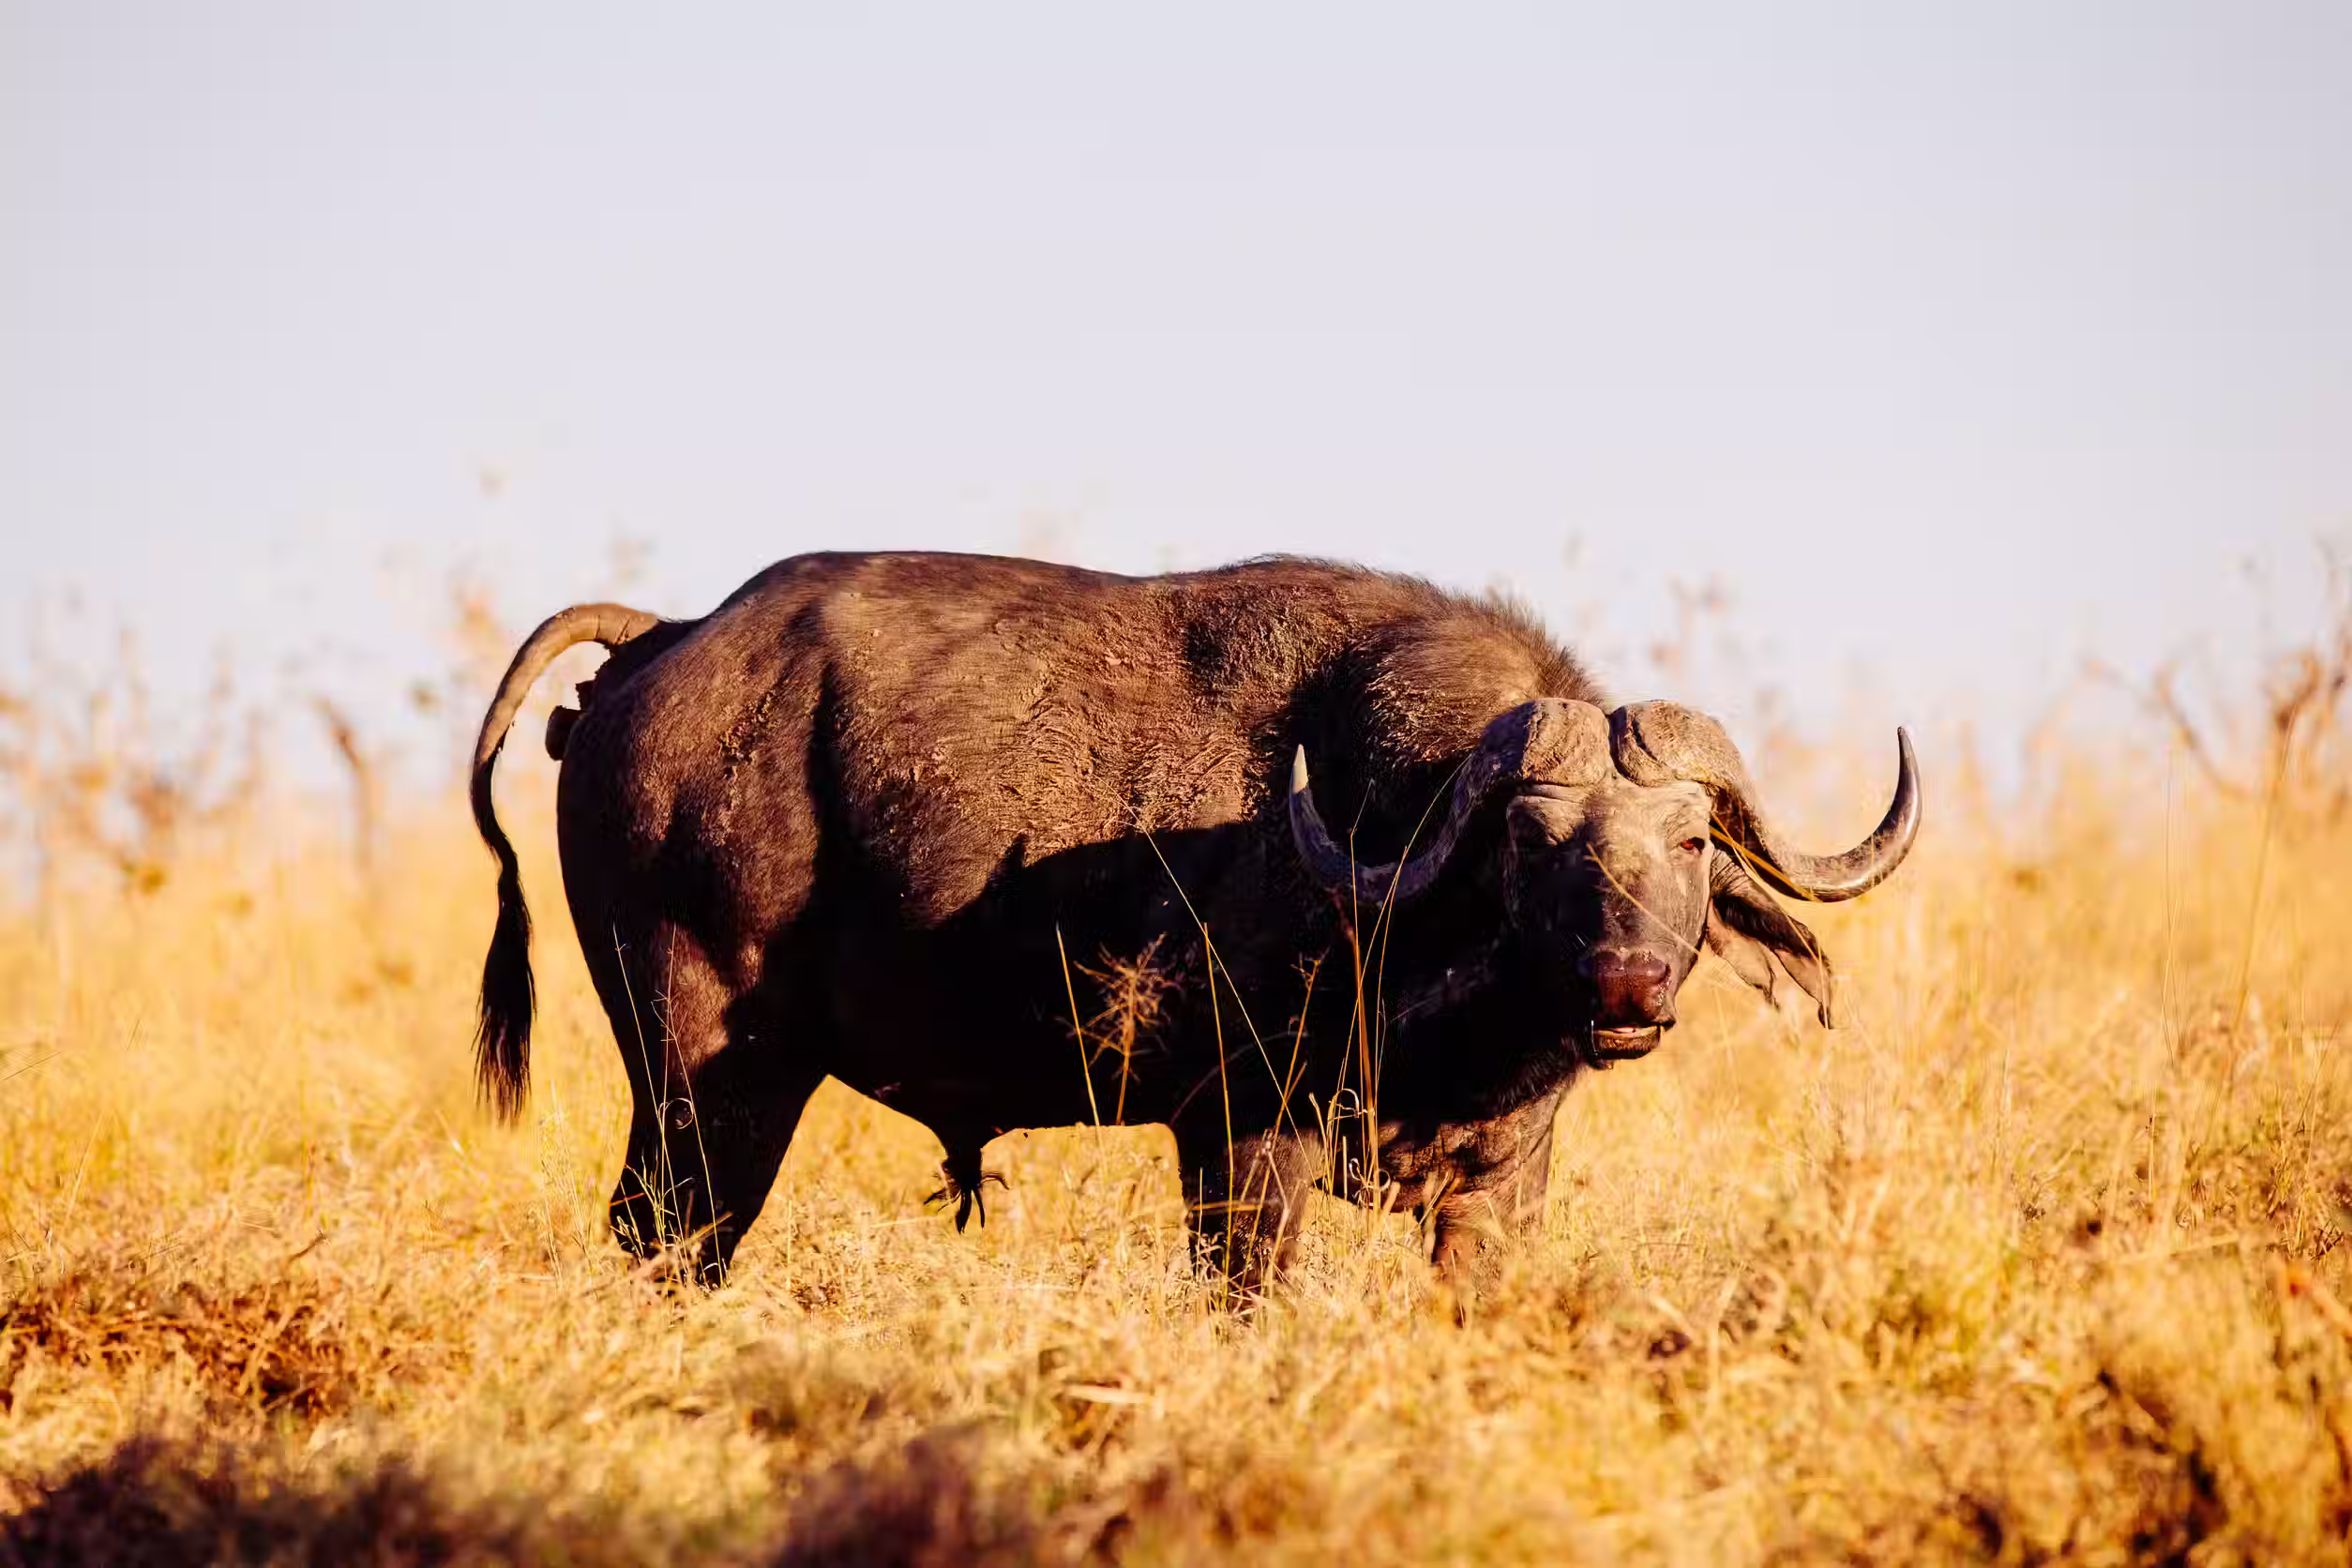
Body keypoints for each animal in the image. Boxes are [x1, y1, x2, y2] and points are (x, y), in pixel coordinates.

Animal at [469, 553, 1918, 1290]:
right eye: (1527, 839)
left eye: (1691, 842)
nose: (1626, 984)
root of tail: (663, 640)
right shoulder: (1239, 1143)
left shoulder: (1504, 1186)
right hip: (704, 1083)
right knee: (660, 1239)